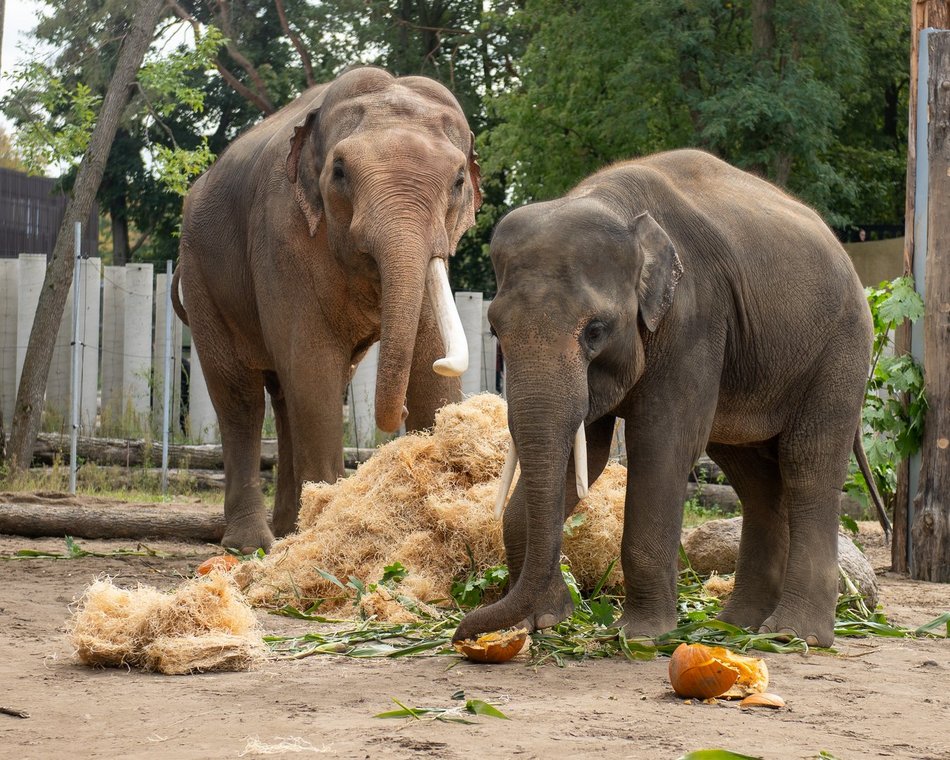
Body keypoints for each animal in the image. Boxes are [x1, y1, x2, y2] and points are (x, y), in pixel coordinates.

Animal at [172, 67, 480, 552]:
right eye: (339, 172)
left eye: (458, 183)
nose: (399, 418)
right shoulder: (281, 234)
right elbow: (314, 368)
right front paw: (328, 528)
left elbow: (429, 368)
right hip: (201, 273)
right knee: (240, 397)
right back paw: (251, 545)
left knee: (284, 397)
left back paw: (286, 530)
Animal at [458, 148, 880, 648]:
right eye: (494, 329)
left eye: (595, 331)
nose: (460, 632)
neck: (613, 203)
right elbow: (589, 453)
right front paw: (545, 620)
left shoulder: (694, 318)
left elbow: (662, 445)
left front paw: (638, 636)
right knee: (753, 477)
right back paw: (735, 627)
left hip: (841, 350)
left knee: (807, 462)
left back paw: (792, 635)